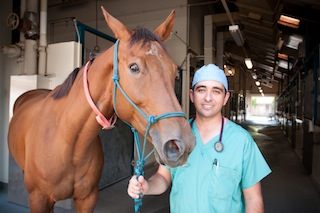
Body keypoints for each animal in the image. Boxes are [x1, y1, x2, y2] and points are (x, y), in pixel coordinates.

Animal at [8, 7, 195, 212]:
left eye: (175, 72)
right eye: (134, 67)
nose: (182, 145)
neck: (68, 140)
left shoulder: (87, 198)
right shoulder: (39, 199)